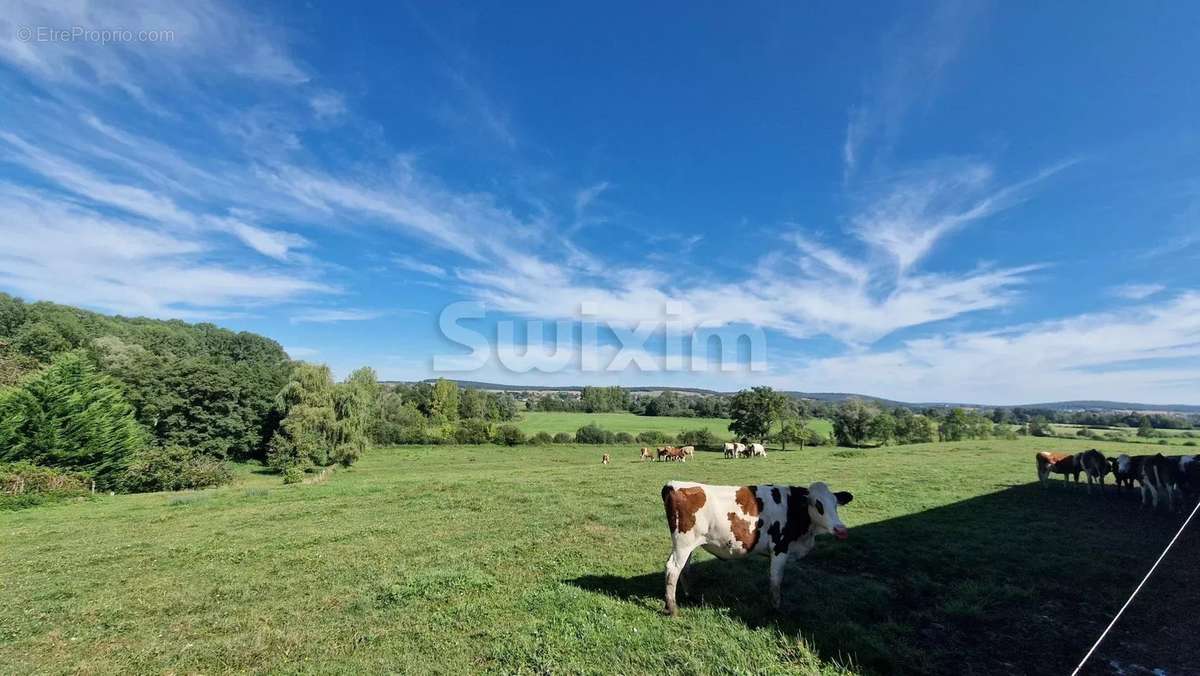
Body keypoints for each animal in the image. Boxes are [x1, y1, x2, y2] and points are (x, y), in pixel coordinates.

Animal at [657, 477, 854, 614]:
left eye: (836, 504)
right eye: (818, 505)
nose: (841, 529)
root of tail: (674, 485)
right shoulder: (779, 549)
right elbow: (775, 581)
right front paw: (775, 609)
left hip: (688, 545)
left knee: (684, 569)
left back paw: (689, 597)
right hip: (683, 544)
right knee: (673, 568)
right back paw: (672, 609)